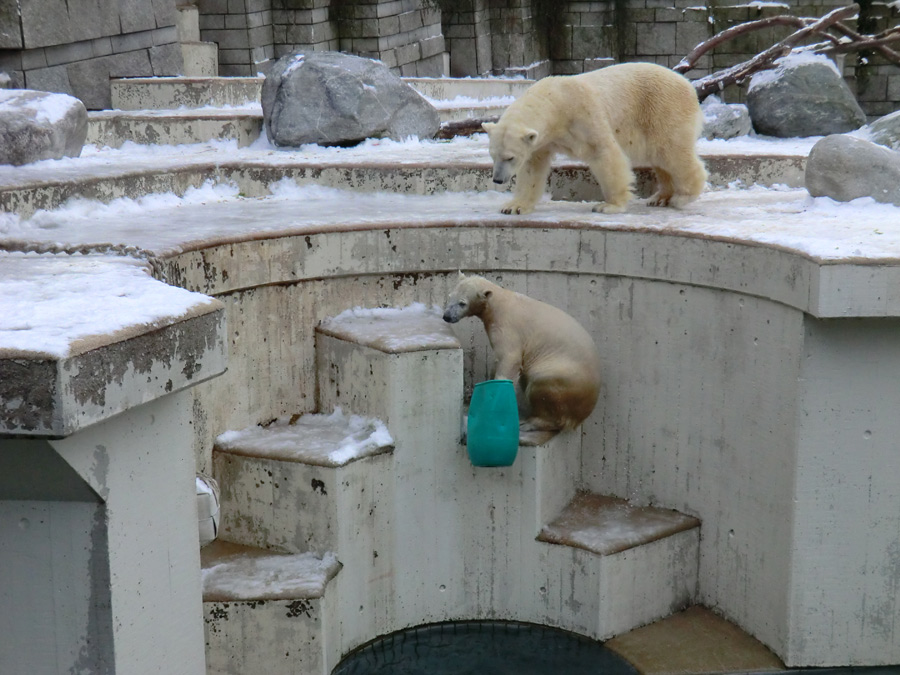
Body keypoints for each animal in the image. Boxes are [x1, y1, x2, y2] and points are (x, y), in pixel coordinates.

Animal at [442, 274, 600, 434]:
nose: (446, 316)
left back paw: (530, 423)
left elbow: (509, 359)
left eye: (462, 303)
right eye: (450, 296)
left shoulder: (508, 328)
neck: (498, 303)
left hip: (563, 377)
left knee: (541, 383)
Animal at [482, 61, 708, 214]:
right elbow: (532, 168)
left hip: (663, 108)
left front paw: (608, 205)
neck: (556, 101)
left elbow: (604, 153)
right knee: (660, 158)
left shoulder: (583, 116)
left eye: (510, 157)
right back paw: (660, 197)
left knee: (671, 151)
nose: (498, 179)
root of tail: (689, 85)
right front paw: (514, 206)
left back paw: (682, 197)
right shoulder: (541, 141)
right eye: (493, 155)